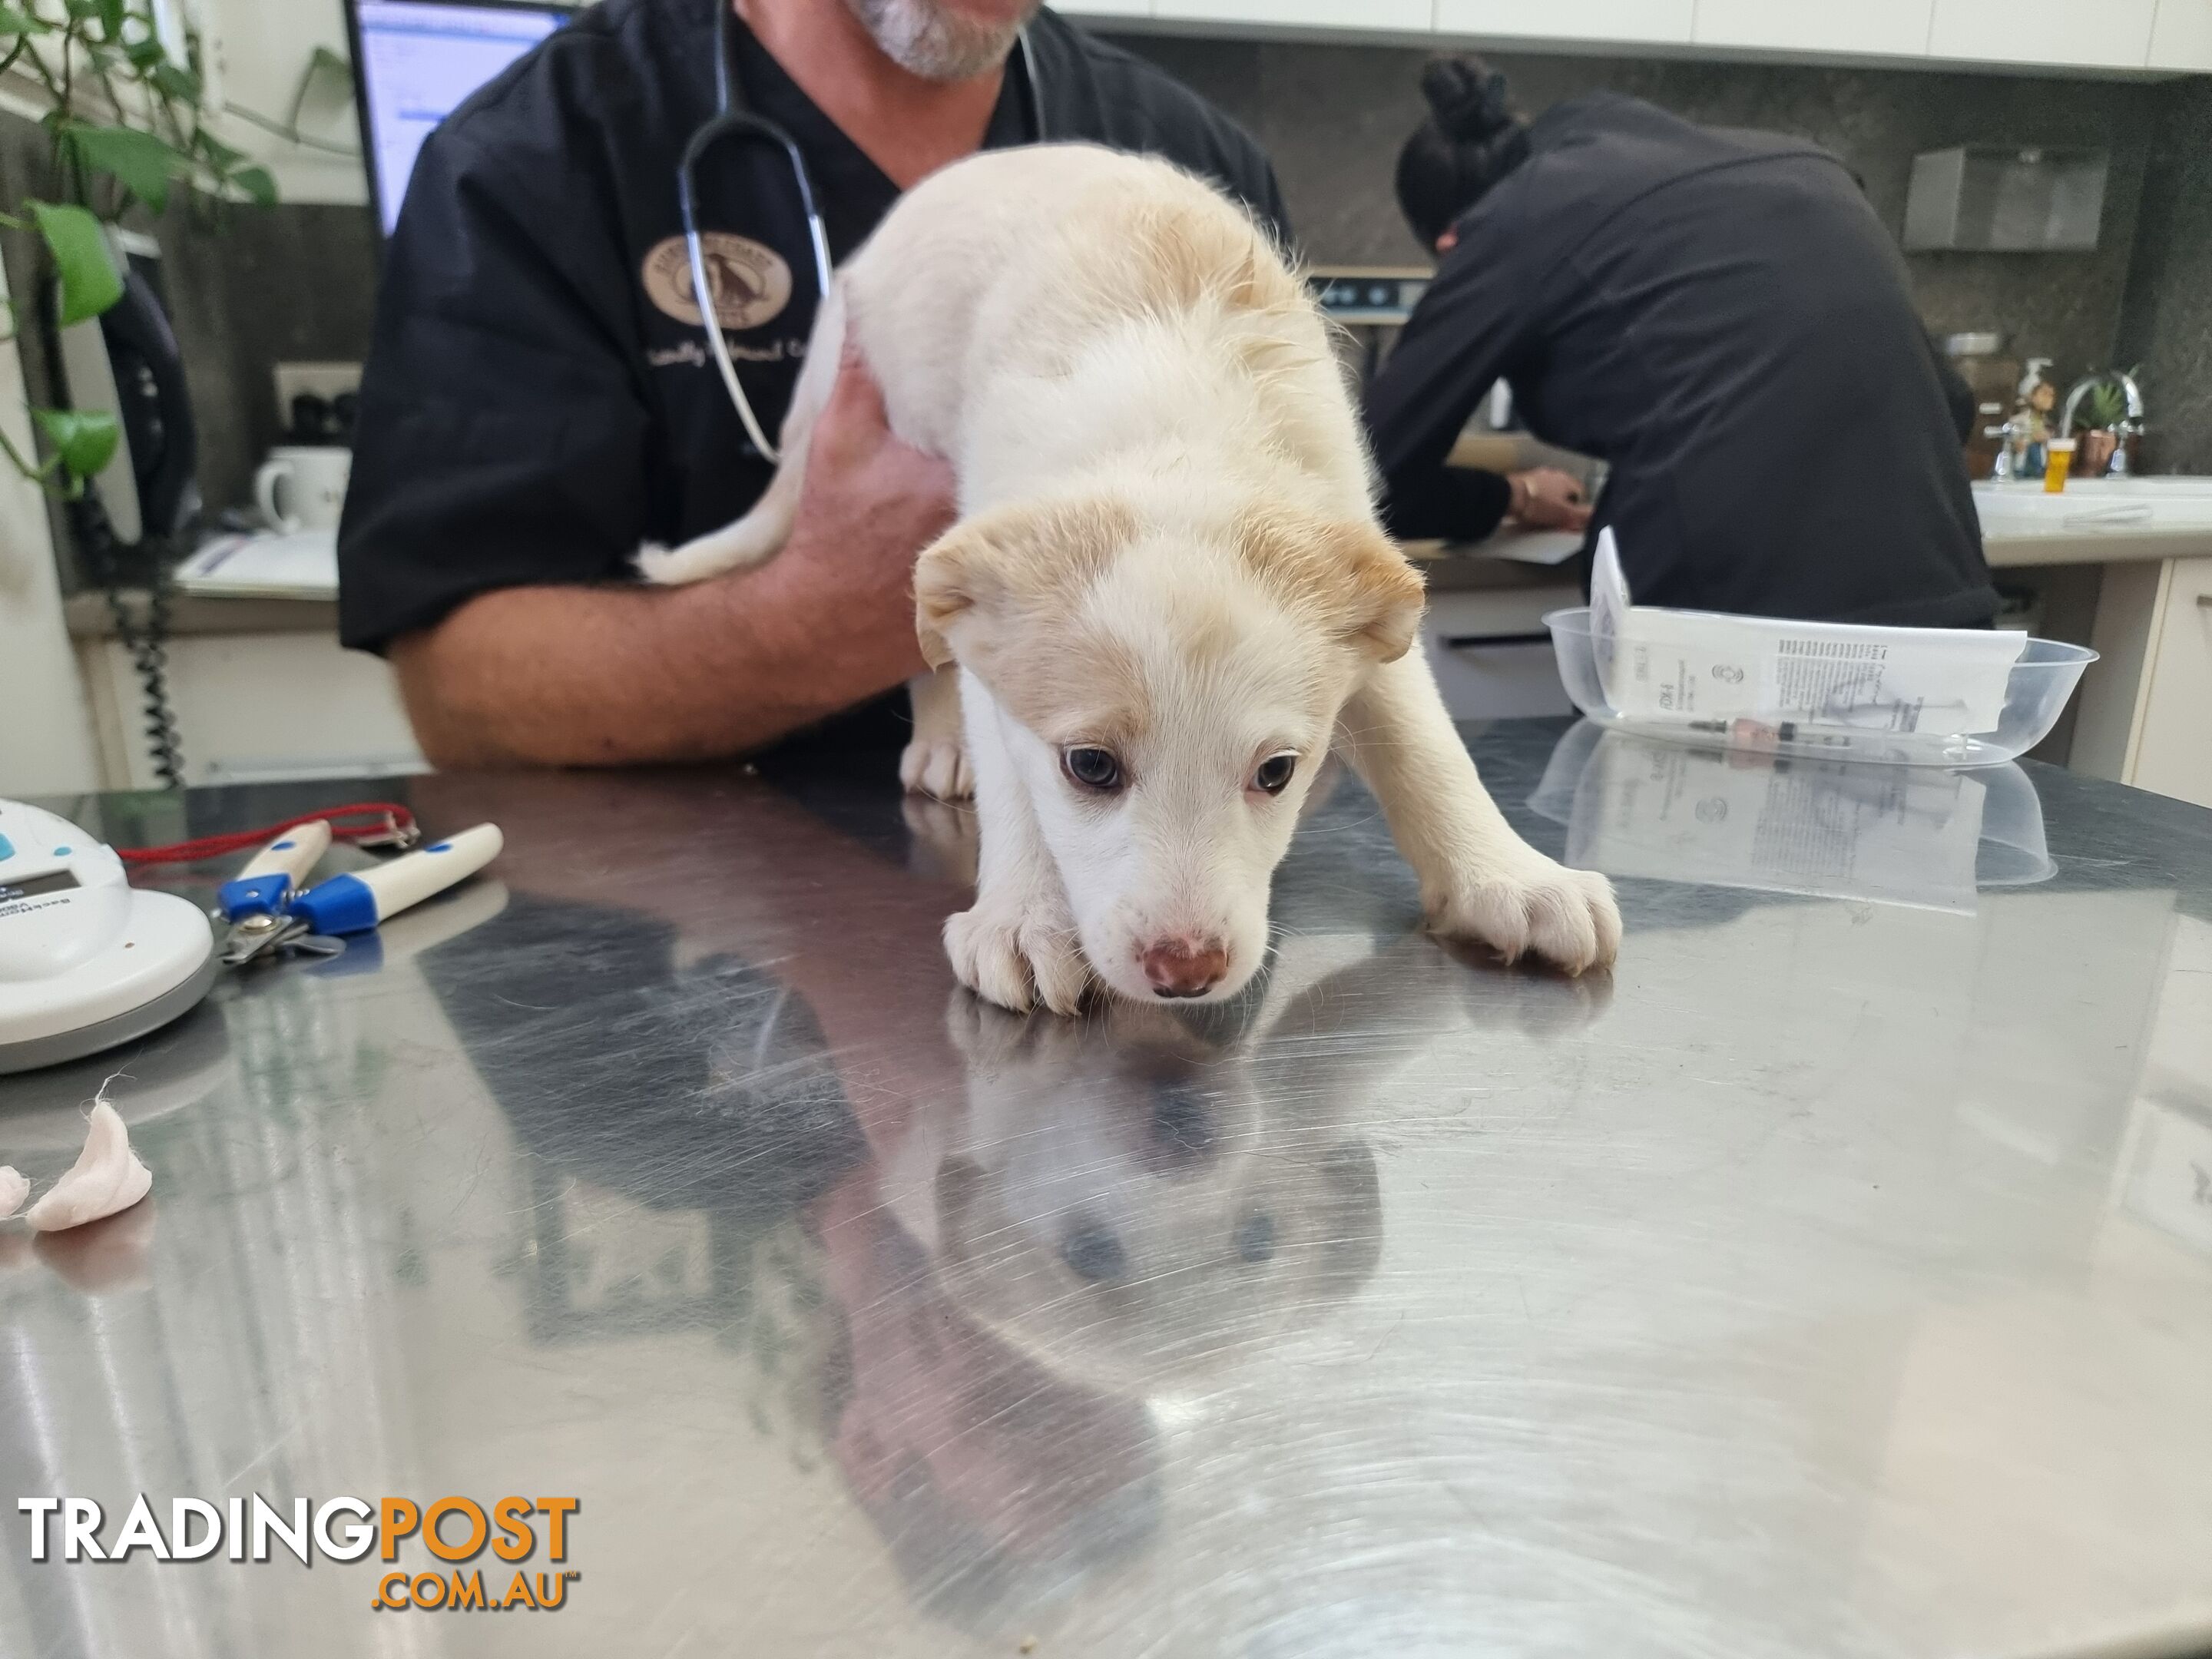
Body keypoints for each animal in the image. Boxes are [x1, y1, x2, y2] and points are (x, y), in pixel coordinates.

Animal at [645, 142, 1628, 1013]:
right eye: (1090, 767)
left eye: (1278, 772)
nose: (1185, 970)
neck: (1180, 431)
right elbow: (1011, 779)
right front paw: (1022, 918)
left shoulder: (1360, 579)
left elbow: (1427, 745)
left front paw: (1509, 877)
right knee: (926, 649)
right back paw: (944, 745)